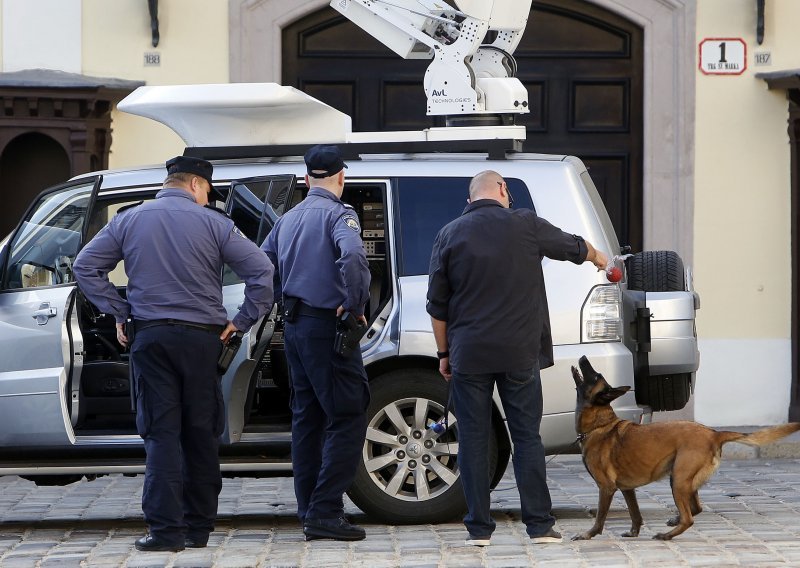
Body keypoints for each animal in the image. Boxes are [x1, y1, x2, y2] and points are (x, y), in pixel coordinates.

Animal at [568, 356, 800, 540]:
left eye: (595, 376)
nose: (583, 357)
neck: (599, 425)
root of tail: (713, 433)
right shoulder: (627, 489)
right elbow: (635, 514)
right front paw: (634, 533)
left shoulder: (606, 487)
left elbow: (600, 518)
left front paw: (588, 535)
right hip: (686, 481)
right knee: (696, 508)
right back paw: (674, 521)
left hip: (678, 480)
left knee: (690, 518)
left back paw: (667, 535)